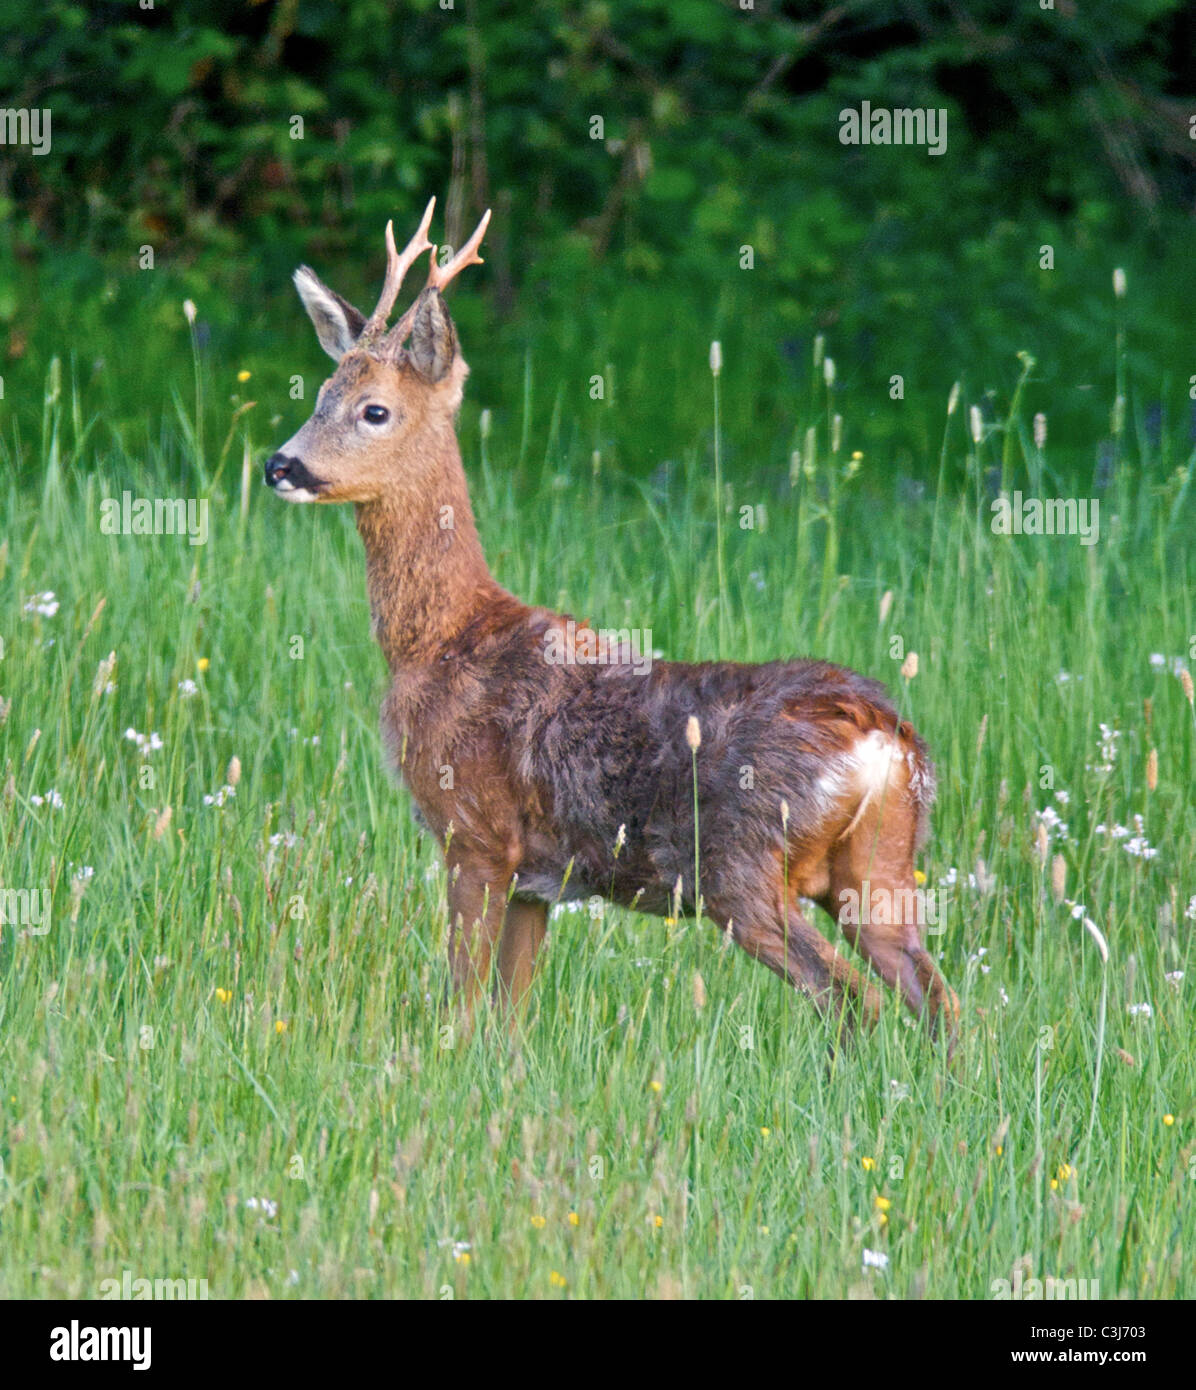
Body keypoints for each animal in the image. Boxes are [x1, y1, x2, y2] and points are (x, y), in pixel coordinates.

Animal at [265, 201, 956, 1045]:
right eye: (319, 394)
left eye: (375, 410)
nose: (281, 466)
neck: (441, 641)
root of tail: (885, 737)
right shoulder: (538, 878)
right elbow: (508, 1017)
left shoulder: (475, 833)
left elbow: (461, 1005)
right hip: (879, 870)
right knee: (941, 1003)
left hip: (741, 868)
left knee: (851, 997)